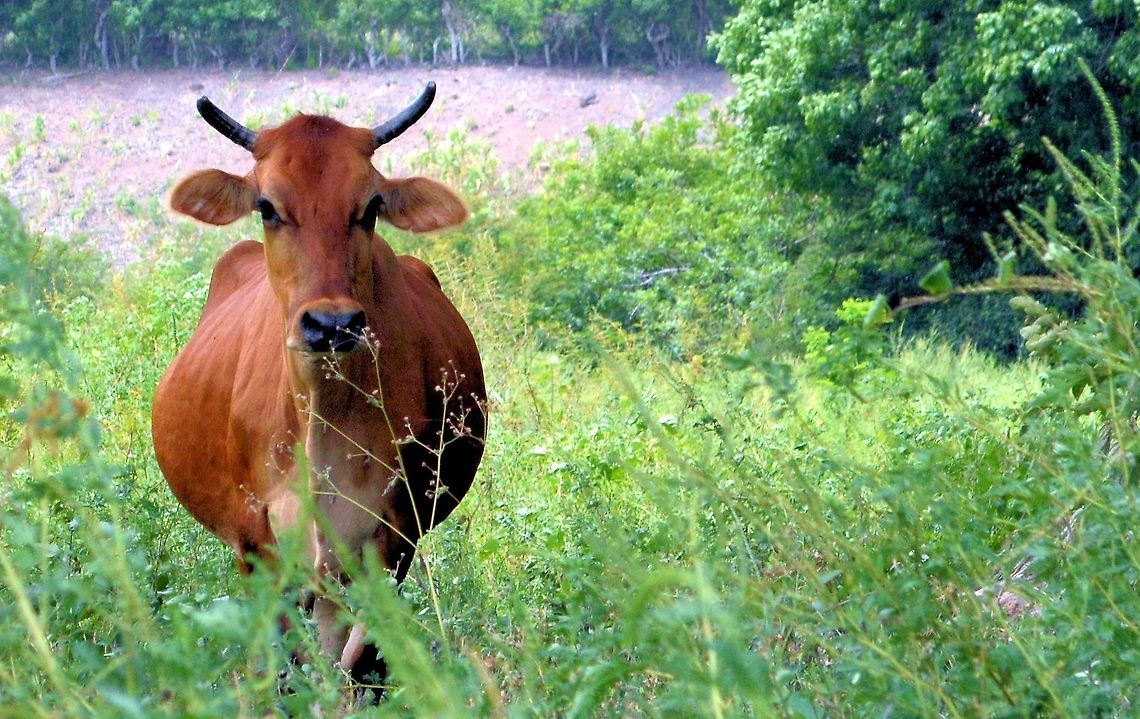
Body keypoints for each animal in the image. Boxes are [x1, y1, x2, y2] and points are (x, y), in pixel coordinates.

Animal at [151, 83, 487, 690]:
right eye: (266, 206)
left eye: (371, 206)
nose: (331, 323)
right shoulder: (258, 542)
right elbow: (285, 666)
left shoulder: (392, 535)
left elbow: (365, 663)